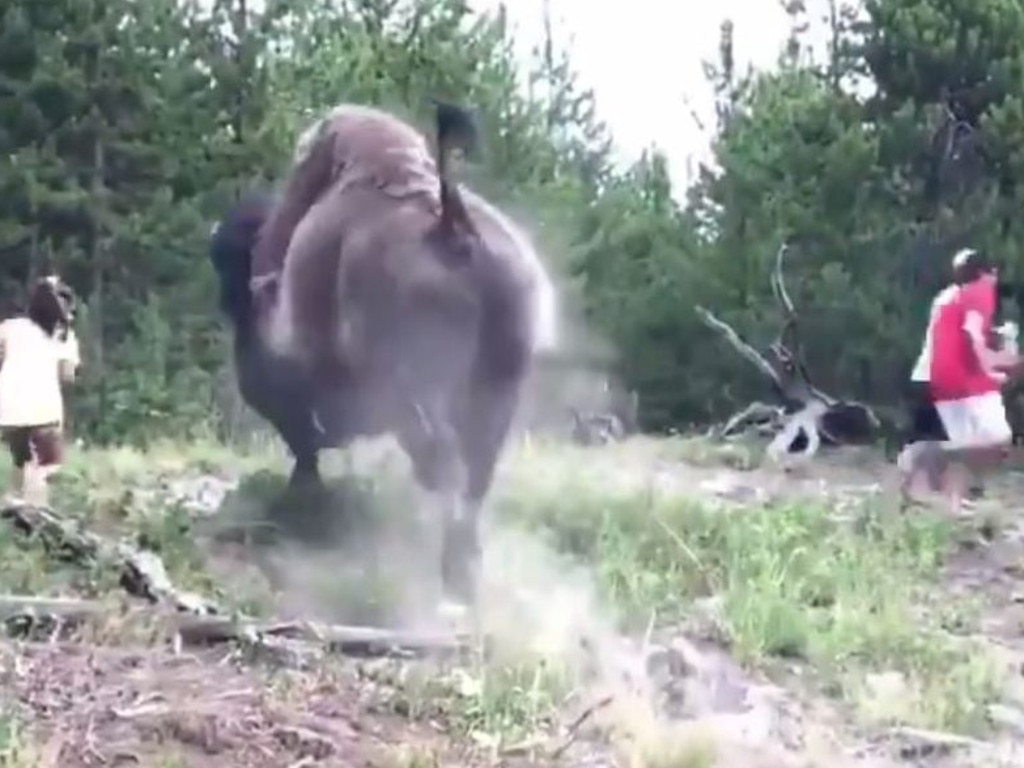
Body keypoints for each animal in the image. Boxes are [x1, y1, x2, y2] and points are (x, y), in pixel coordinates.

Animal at [208, 102, 561, 606]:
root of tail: (451, 225)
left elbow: (305, 451)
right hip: (497, 386)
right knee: (474, 476)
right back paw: (463, 575)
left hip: (416, 386)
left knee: (443, 462)